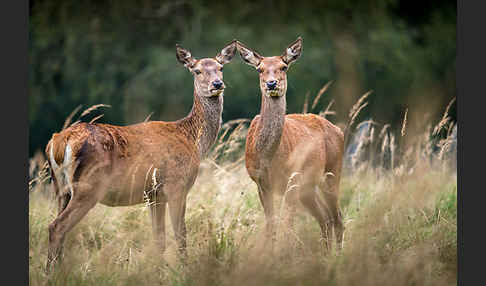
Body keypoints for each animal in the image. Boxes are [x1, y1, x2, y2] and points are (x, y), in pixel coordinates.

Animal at [43, 40, 237, 272]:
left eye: (221, 67)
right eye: (197, 70)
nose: (217, 84)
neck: (192, 140)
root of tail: (59, 142)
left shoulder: (154, 194)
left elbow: (159, 239)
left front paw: (159, 270)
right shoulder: (176, 185)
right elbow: (180, 234)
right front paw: (185, 269)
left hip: (61, 189)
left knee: (59, 228)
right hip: (89, 186)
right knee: (57, 227)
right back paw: (53, 274)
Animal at [236, 37, 346, 250]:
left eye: (284, 67)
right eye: (260, 69)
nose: (271, 84)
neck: (267, 158)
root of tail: (339, 131)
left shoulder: (294, 178)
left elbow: (287, 226)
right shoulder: (260, 182)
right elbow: (271, 226)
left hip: (331, 172)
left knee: (337, 218)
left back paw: (337, 255)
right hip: (309, 188)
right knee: (325, 218)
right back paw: (327, 253)